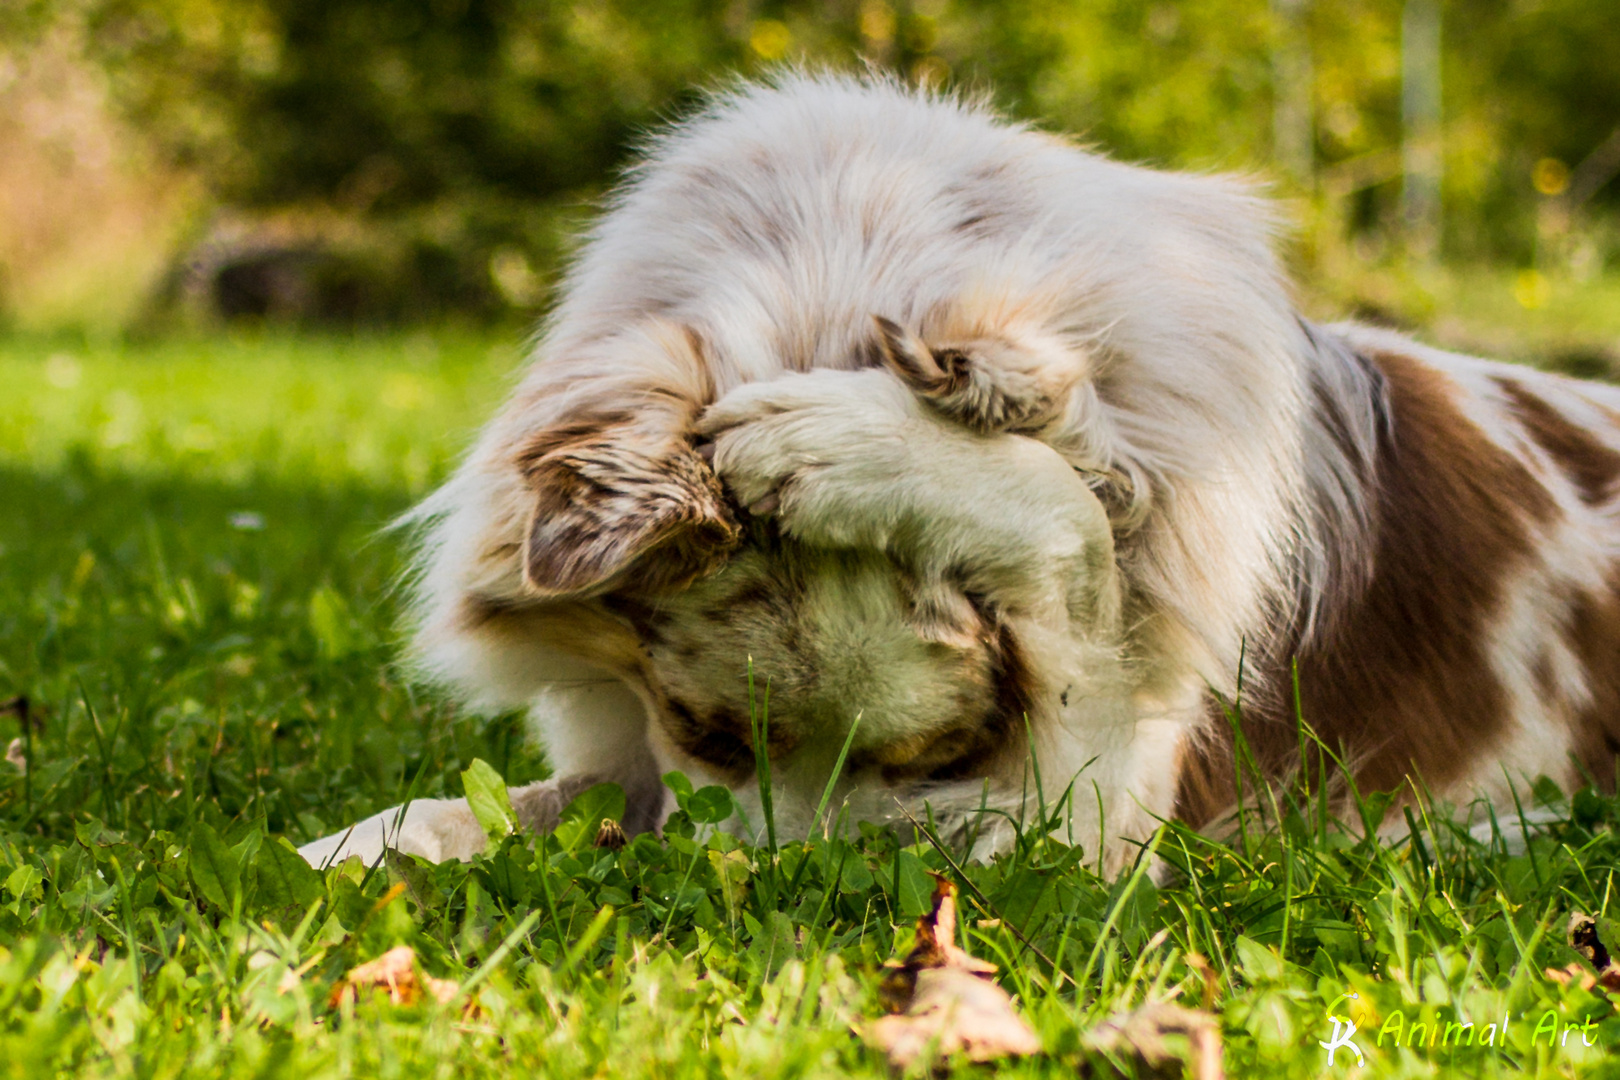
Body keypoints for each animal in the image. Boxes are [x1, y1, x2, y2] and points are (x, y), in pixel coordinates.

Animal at [301, 76, 1620, 874]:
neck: (848, 268)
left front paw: (847, 443)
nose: (783, 890)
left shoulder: (1097, 804)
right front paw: (335, 860)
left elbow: (1072, 542)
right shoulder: (628, 751)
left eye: (938, 761)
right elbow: (506, 802)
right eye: (707, 737)